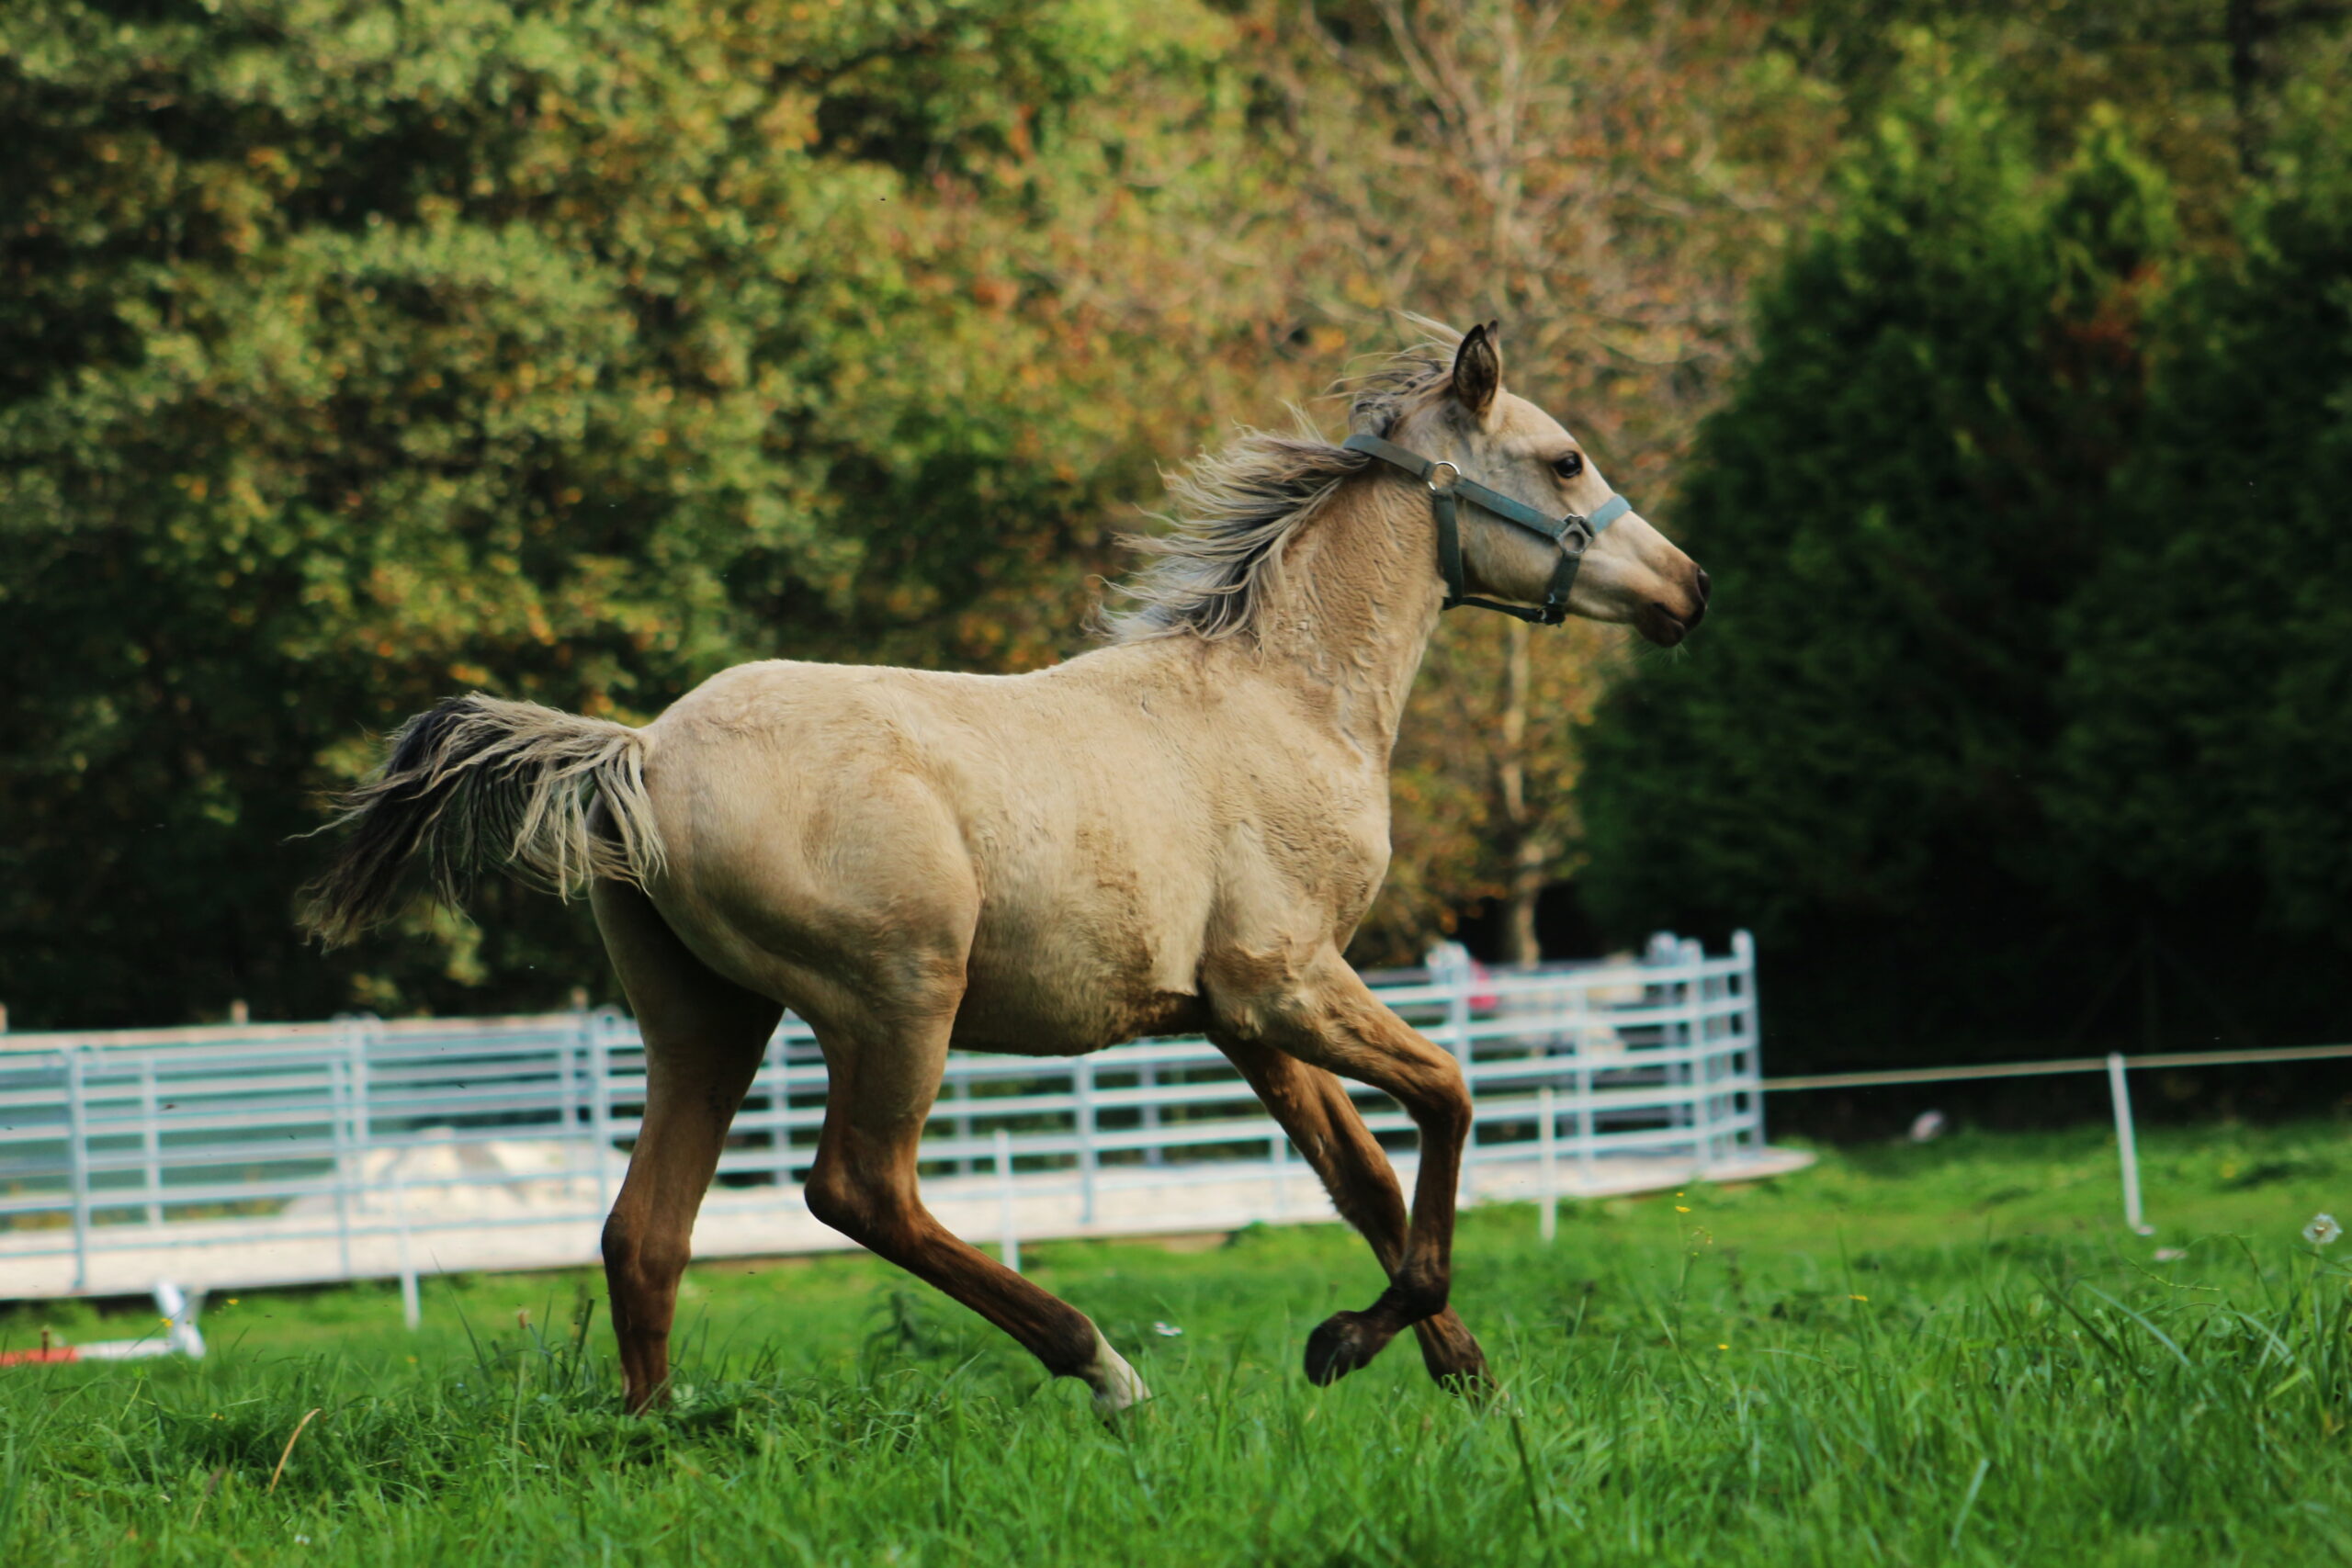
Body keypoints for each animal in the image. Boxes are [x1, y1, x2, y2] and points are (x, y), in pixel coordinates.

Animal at [308, 324, 1712, 1419]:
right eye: (1565, 457)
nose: (1689, 587)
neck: (1283, 696)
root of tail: (638, 752)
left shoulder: (1245, 1019)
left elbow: (1361, 1175)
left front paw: (1467, 1383)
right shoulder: (1286, 983)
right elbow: (1451, 1099)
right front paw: (1344, 1346)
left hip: (708, 1020)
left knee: (645, 1231)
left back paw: (659, 1440)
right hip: (897, 1001)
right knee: (858, 1190)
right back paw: (1103, 1369)